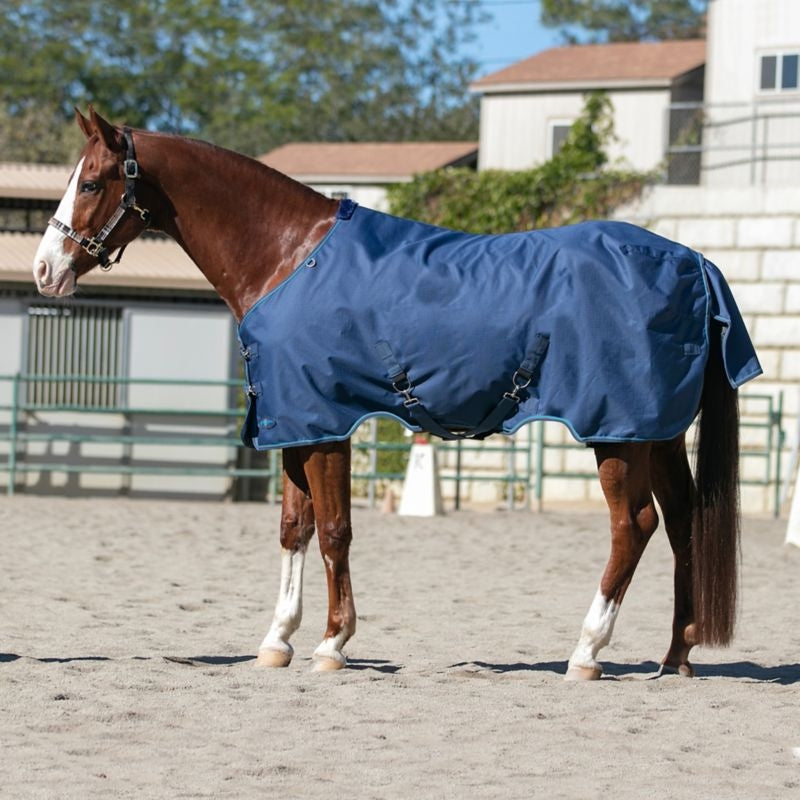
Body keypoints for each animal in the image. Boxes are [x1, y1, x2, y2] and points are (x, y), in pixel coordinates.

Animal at [32, 108, 761, 680]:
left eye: (91, 182)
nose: (44, 269)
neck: (288, 257)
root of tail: (693, 261)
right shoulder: (293, 424)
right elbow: (294, 529)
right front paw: (276, 641)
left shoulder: (326, 424)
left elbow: (334, 531)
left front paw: (332, 643)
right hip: (656, 431)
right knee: (683, 525)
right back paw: (676, 656)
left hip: (618, 434)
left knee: (631, 528)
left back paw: (586, 652)